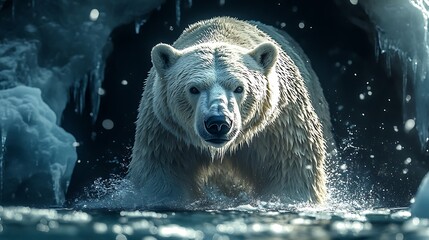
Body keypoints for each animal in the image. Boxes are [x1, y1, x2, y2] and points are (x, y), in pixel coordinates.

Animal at [127, 16, 332, 205]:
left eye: (239, 88)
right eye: (193, 89)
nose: (218, 123)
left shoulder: (277, 128)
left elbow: (292, 171)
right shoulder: (167, 134)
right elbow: (162, 176)